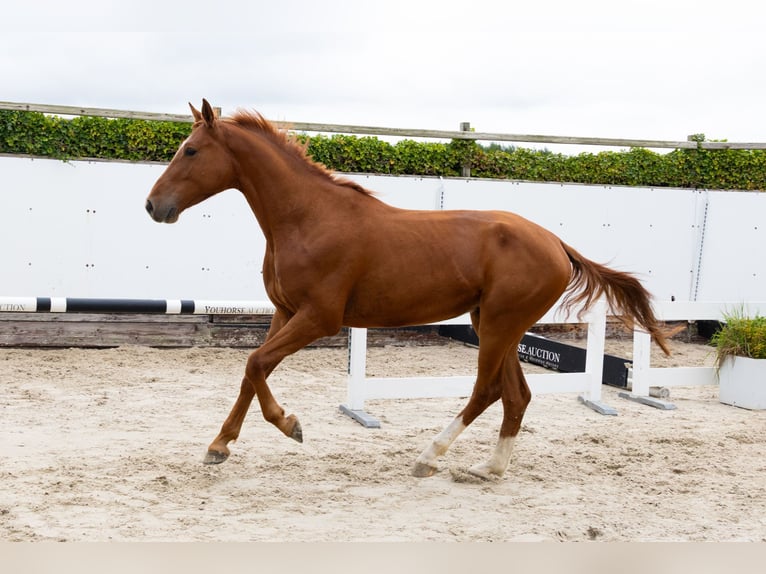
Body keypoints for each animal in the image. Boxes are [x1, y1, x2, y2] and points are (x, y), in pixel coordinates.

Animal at [145, 99, 669, 480]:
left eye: (190, 151)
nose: (153, 205)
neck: (307, 218)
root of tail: (557, 243)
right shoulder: (283, 312)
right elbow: (251, 373)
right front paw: (218, 446)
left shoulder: (319, 318)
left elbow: (255, 365)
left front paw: (291, 425)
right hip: (495, 324)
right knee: (516, 395)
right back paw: (488, 468)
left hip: (501, 325)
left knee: (487, 390)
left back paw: (429, 457)